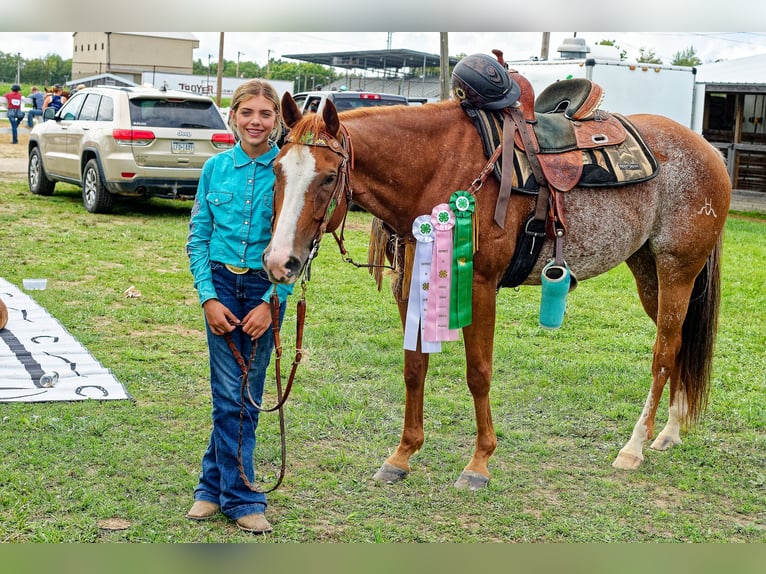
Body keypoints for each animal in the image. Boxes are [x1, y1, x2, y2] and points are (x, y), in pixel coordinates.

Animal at [262, 84, 731, 490]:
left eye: (327, 177)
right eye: (276, 170)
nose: (278, 262)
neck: (437, 166)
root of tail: (708, 151)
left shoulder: (480, 286)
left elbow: (479, 373)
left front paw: (479, 463)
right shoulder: (412, 286)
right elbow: (414, 368)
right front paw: (402, 455)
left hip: (676, 269)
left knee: (663, 352)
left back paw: (634, 446)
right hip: (648, 271)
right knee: (679, 343)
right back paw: (670, 431)